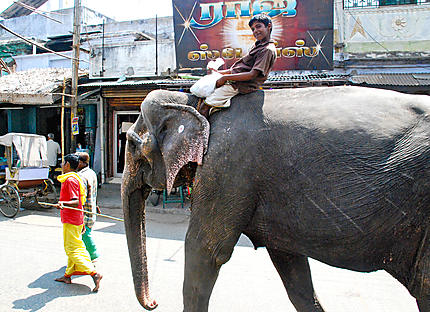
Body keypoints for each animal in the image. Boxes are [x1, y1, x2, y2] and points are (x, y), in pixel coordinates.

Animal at [119, 86, 430, 312]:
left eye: (132, 144)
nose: (154, 303)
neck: (196, 104)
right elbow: (291, 266)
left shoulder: (227, 165)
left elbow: (206, 249)